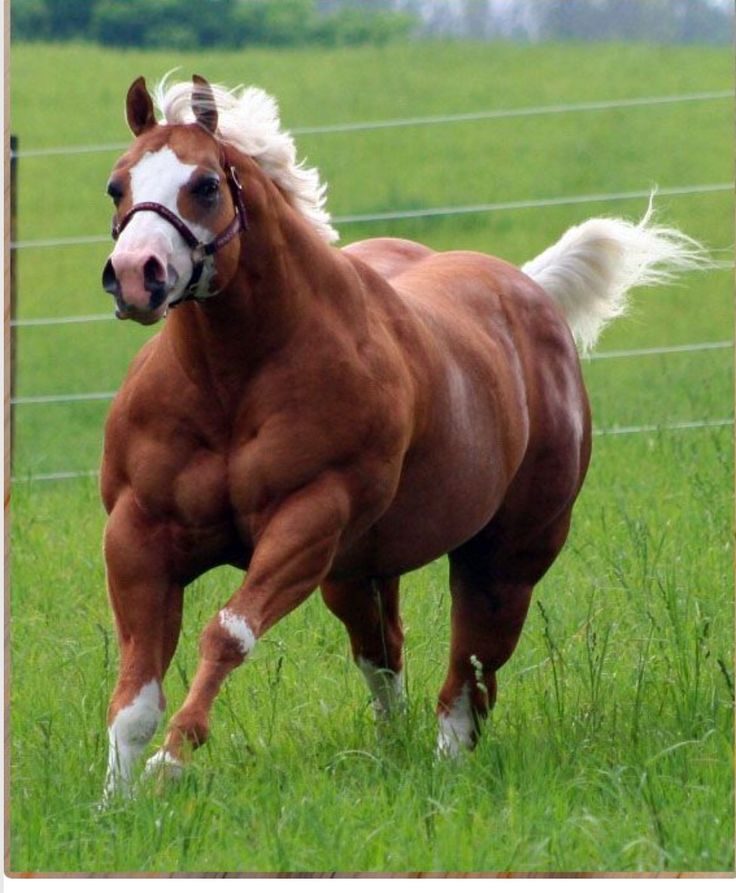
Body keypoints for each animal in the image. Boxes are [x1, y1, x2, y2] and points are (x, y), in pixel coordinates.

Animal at [99, 74, 702, 800]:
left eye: (207, 184)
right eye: (117, 185)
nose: (137, 274)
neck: (233, 384)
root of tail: (529, 288)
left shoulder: (308, 521)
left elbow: (228, 634)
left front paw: (169, 762)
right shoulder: (139, 533)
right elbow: (136, 686)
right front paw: (116, 798)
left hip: (506, 556)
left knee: (473, 668)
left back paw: (446, 765)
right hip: (359, 571)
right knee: (385, 653)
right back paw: (395, 753)